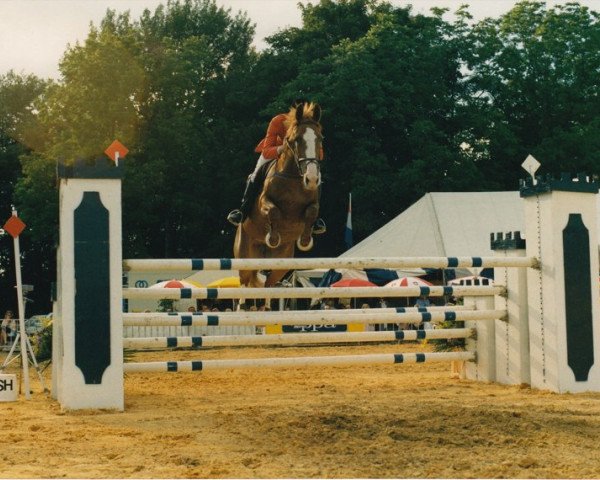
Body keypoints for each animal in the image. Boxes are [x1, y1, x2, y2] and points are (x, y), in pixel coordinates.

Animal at [234, 101, 324, 286]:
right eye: (296, 140)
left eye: (320, 139)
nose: (312, 179)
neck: (294, 178)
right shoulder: (264, 202)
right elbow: (274, 211)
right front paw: (273, 238)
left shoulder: (312, 204)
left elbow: (312, 211)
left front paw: (305, 241)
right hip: (244, 258)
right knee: (245, 284)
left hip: (281, 262)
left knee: (268, 284)